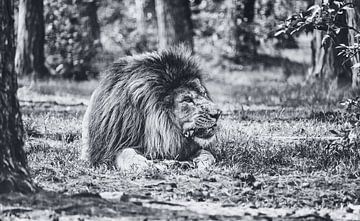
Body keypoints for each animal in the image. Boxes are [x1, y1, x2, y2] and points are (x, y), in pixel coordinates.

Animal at [81, 47, 221, 171]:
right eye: (187, 100)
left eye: (203, 93)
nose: (218, 113)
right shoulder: (109, 150)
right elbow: (126, 152)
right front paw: (145, 165)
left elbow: (207, 153)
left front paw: (202, 162)